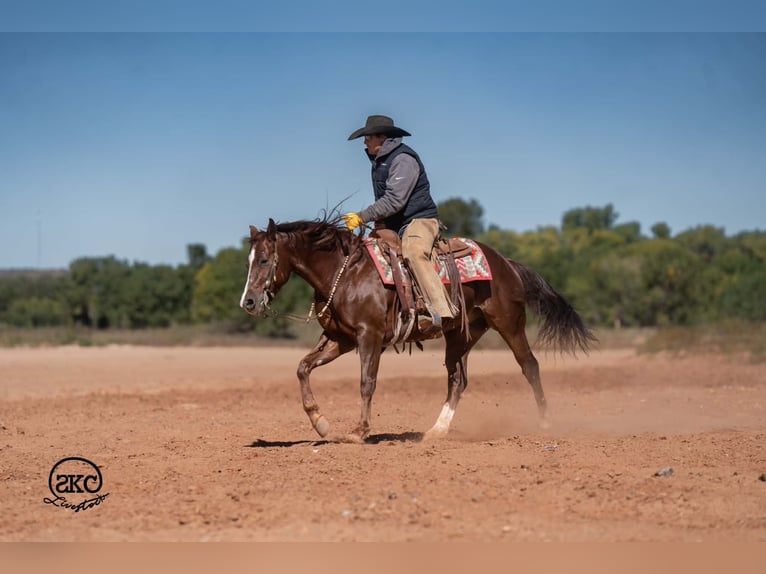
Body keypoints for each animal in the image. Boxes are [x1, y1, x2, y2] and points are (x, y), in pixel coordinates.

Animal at [240, 217, 594, 443]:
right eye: (248, 261)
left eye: (264, 260)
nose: (249, 302)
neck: (345, 272)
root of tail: (506, 263)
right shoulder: (342, 339)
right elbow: (303, 367)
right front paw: (322, 424)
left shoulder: (369, 336)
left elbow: (367, 383)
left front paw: (359, 431)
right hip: (461, 334)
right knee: (458, 379)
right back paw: (436, 431)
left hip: (509, 322)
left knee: (529, 365)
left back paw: (545, 422)